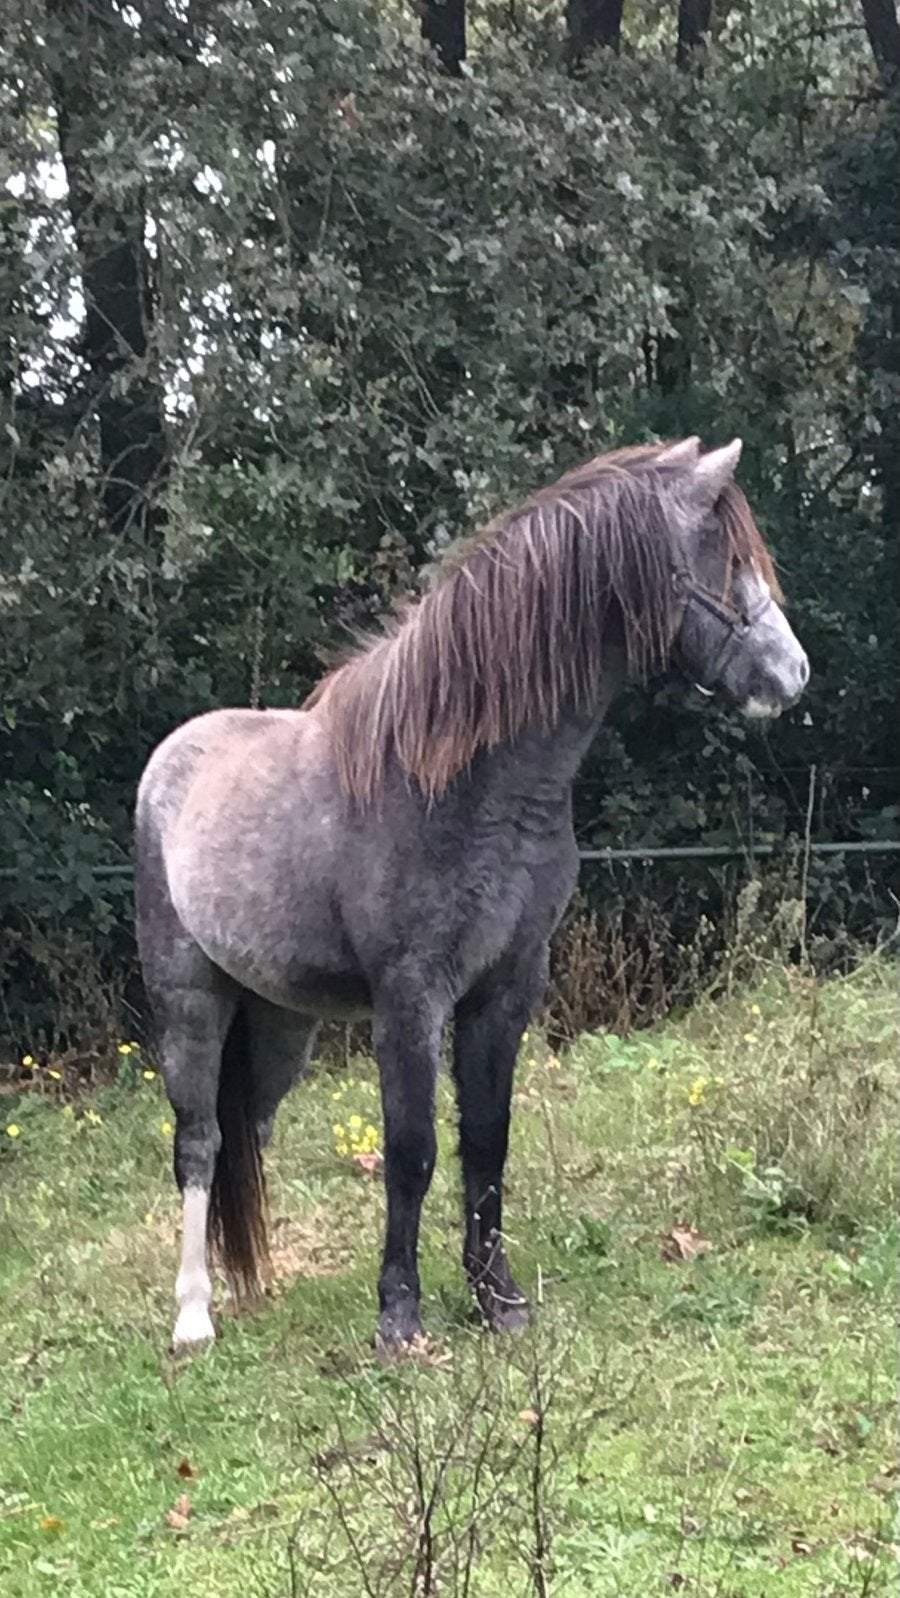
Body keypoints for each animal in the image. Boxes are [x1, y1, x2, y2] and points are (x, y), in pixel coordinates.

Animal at [134, 436, 809, 1354]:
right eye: (726, 560)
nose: (793, 674)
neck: (464, 779)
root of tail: (171, 759)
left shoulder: (509, 983)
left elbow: (486, 1141)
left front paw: (499, 1298)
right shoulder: (411, 996)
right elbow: (411, 1149)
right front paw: (399, 1314)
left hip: (278, 1025)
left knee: (250, 1135)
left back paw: (250, 1291)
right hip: (190, 1002)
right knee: (200, 1142)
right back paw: (194, 1316)